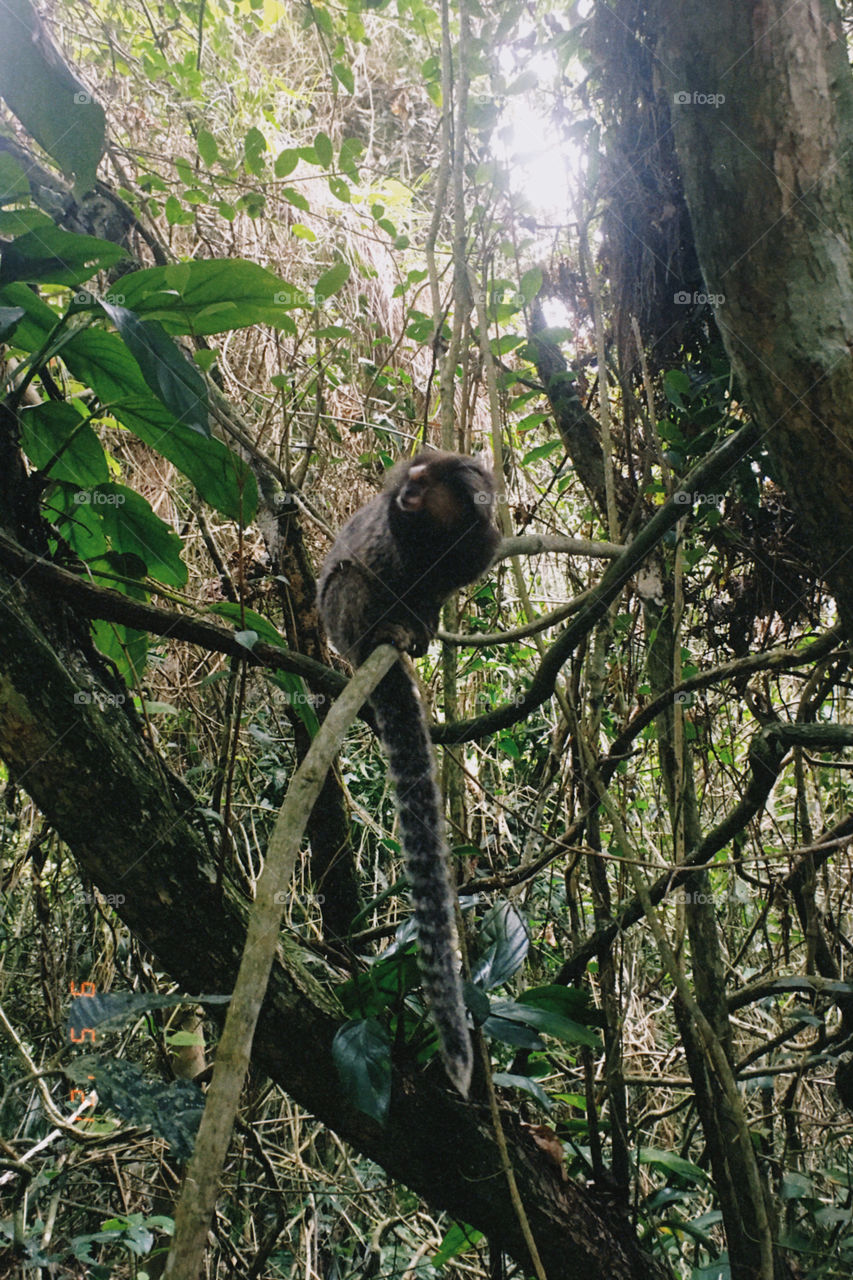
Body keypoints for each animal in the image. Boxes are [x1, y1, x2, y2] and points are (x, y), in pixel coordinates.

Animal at [317, 450, 499, 1090]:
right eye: (411, 482)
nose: (407, 496)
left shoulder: (477, 547)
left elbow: (437, 594)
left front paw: (423, 627)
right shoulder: (391, 542)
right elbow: (370, 568)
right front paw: (396, 624)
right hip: (341, 624)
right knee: (349, 584)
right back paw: (381, 636)